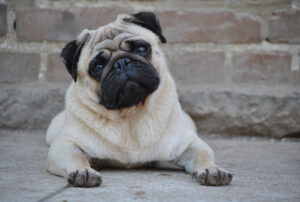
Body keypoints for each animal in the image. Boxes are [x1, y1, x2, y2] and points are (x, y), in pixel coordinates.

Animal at [45, 11, 233, 187]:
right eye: (97, 67)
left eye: (141, 49)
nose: (121, 63)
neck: (130, 115)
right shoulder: (64, 144)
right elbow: (76, 157)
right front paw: (83, 171)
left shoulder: (190, 144)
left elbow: (203, 156)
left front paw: (212, 169)